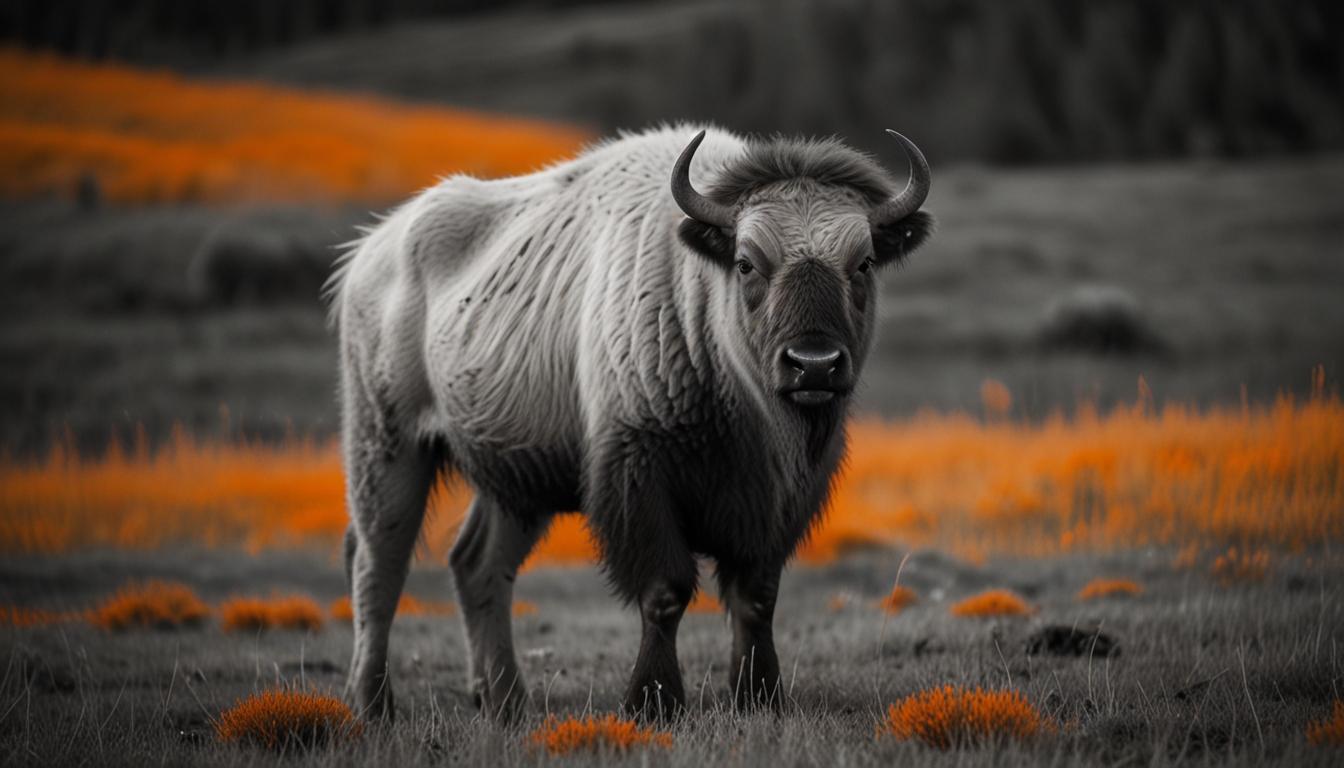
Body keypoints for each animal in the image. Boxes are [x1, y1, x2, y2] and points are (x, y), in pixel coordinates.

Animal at [329, 125, 933, 722]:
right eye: (746, 262)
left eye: (863, 262)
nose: (814, 364)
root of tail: (369, 252)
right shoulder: (638, 477)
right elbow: (666, 592)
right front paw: (653, 701)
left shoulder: (779, 499)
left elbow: (756, 596)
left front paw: (759, 696)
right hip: (388, 448)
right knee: (379, 566)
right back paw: (373, 703)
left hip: (518, 485)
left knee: (477, 565)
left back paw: (505, 702)